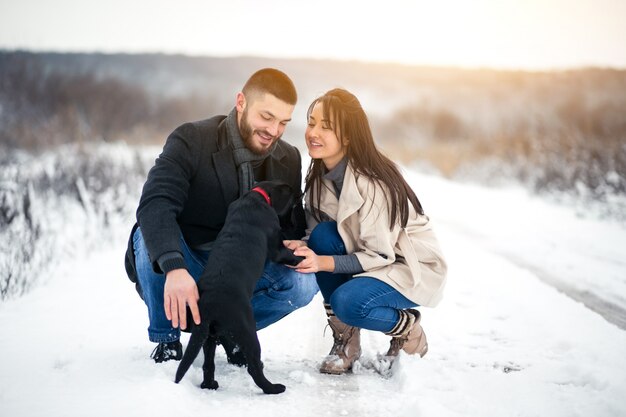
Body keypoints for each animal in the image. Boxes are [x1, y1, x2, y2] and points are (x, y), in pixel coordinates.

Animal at [174, 180, 302, 394]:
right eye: (292, 203)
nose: (295, 226)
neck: (257, 196)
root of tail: (209, 306)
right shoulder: (276, 247)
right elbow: (290, 254)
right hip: (247, 331)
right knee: (254, 367)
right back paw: (274, 388)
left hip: (208, 336)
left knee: (208, 364)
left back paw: (210, 385)